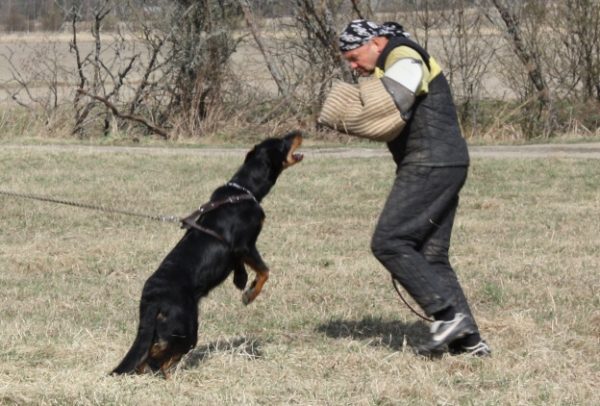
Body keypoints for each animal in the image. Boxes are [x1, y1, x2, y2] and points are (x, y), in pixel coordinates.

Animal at [110, 132, 302, 380]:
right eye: (282, 142)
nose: (298, 132)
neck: (243, 190)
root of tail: (153, 296)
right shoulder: (245, 245)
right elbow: (264, 271)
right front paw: (250, 294)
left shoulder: (236, 252)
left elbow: (240, 265)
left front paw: (240, 280)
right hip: (186, 328)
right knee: (156, 358)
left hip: (161, 328)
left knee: (146, 356)